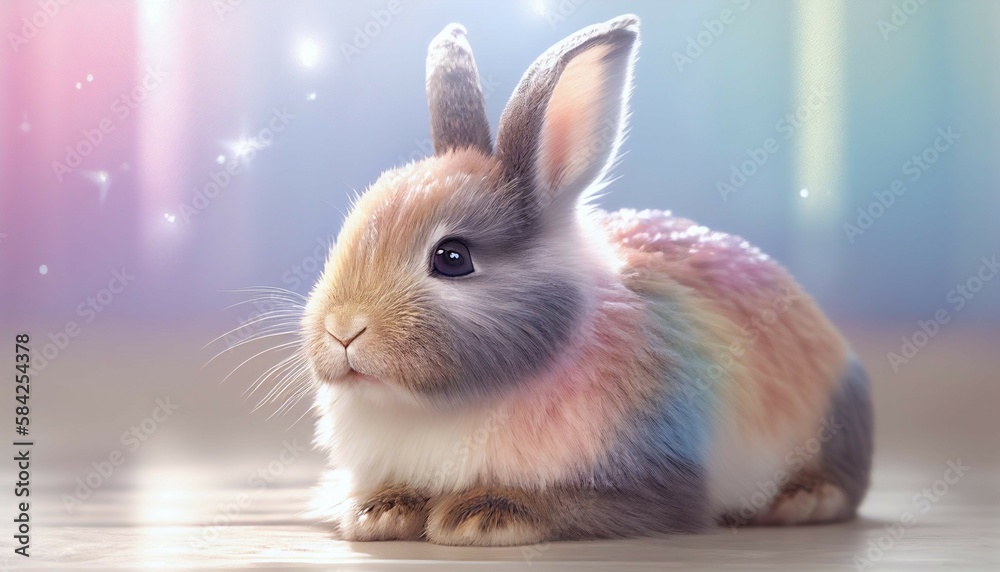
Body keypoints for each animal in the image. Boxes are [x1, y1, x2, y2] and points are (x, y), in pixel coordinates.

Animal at [300, 14, 873, 546]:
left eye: (452, 258)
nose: (343, 329)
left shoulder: (655, 480)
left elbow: (574, 504)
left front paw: (480, 515)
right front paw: (380, 512)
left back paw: (806, 499)